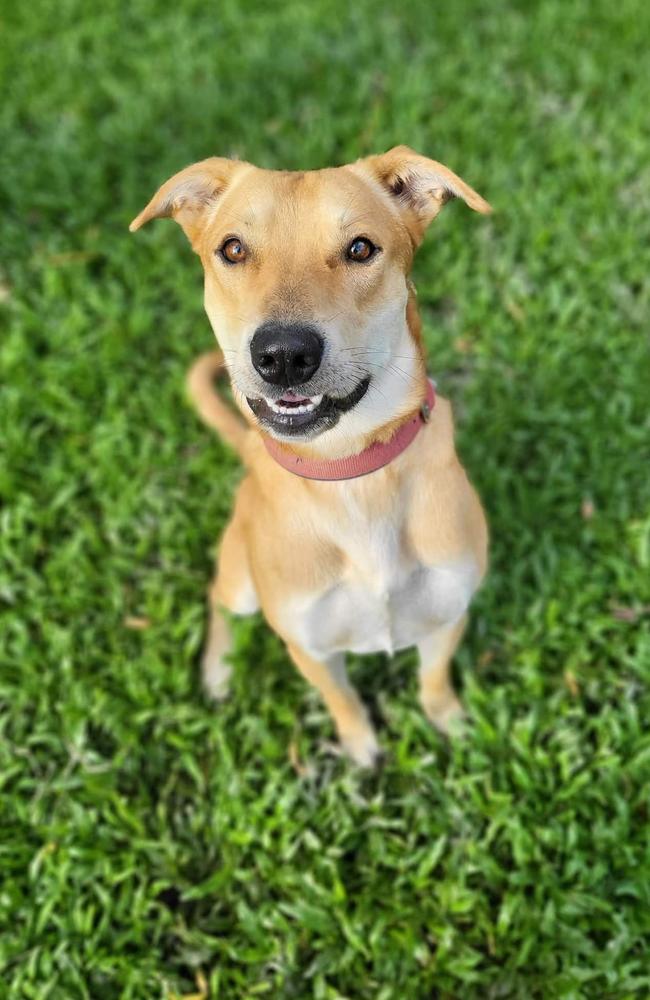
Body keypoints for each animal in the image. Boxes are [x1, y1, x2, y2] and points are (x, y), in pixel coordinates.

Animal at [129, 146, 488, 764]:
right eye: (233, 249)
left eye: (360, 248)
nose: (283, 355)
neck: (350, 472)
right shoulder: (309, 645)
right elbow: (343, 700)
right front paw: (362, 751)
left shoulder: (448, 612)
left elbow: (434, 679)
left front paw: (450, 723)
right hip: (242, 582)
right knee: (219, 600)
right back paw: (218, 671)